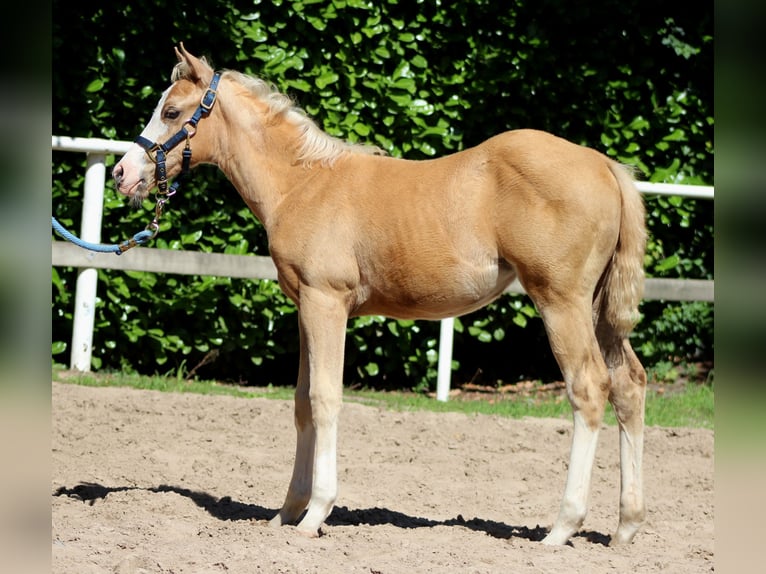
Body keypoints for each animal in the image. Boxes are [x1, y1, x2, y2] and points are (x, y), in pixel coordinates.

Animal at [113, 44, 648, 546]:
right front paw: (285, 513)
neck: (302, 183)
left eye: (172, 112)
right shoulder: (305, 308)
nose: (122, 173)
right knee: (629, 384)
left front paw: (315, 514)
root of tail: (605, 166)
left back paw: (561, 528)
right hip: (598, 309)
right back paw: (625, 527)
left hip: (560, 301)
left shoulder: (327, 303)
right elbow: (302, 403)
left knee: (589, 387)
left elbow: (325, 398)